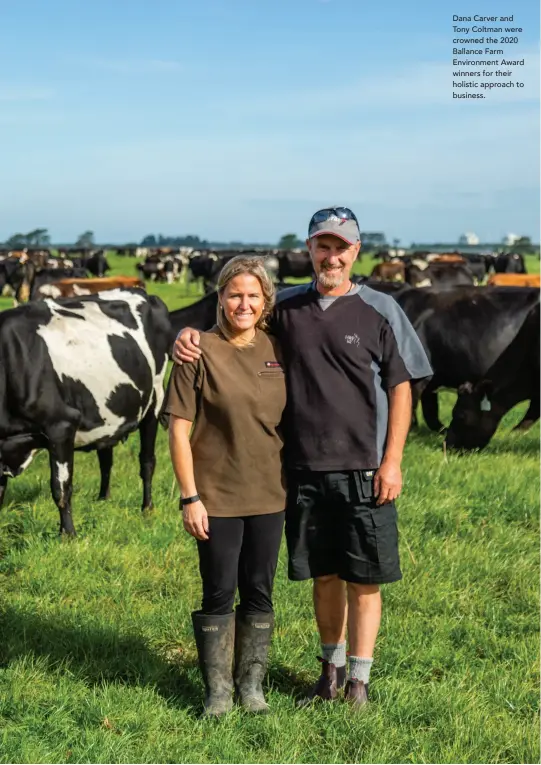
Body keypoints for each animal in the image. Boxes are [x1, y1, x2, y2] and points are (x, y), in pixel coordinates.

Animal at [0, 290, 171, 536]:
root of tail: (143, 293)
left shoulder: (61, 426)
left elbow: (61, 487)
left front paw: (68, 534)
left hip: (154, 400)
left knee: (147, 461)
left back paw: (147, 508)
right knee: (106, 458)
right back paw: (103, 499)